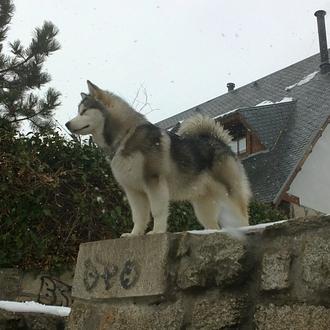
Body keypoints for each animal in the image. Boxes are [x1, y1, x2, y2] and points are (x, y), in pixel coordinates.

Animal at [67, 82, 253, 237]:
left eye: (84, 111)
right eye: (78, 111)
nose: (67, 123)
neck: (125, 137)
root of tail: (219, 141)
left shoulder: (154, 182)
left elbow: (157, 211)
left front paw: (156, 232)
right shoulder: (133, 190)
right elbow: (138, 216)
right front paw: (134, 234)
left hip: (230, 193)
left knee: (242, 217)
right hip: (202, 205)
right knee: (213, 225)